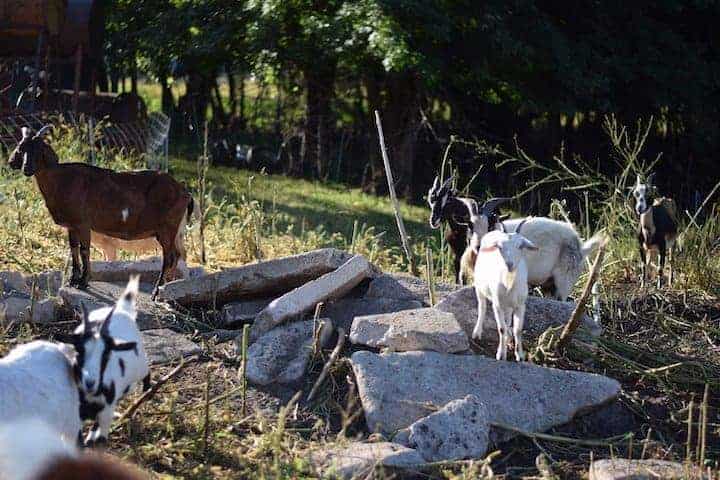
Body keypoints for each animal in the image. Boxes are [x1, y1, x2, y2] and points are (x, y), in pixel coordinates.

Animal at [9, 125, 194, 298]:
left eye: (39, 150)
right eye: (22, 149)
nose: (26, 168)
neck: (62, 180)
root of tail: (185, 192)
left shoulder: (83, 223)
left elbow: (84, 250)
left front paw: (83, 282)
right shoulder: (71, 225)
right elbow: (73, 249)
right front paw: (73, 280)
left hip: (166, 229)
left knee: (170, 257)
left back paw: (157, 291)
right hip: (175, 231)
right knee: (177, 255)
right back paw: (169, 287)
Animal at [61, 276, 151, 444]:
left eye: (106, 355)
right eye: (79, 351)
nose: (90, 382)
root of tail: (122, 309)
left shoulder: (105, 412)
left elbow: (101, 439)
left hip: (141, 363)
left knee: (147, 372)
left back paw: (147, 390)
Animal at [462, 202, 600, 300]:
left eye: (489, 226)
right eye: (470, 226)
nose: (478, 246)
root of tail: (580, 247)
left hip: (565, 279)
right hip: (548, 284)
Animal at [472, 218, 536, 360]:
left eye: (520, 246)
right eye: (500, 247)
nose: (509, 264)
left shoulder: (520, 305)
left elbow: (518, 329)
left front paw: (520, 355)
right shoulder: (497, 305)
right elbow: (501, 329)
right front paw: (501, 354)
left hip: (509, 303)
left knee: (507, 317)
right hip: (479, 287)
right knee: (482, 307)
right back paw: (477, 332)